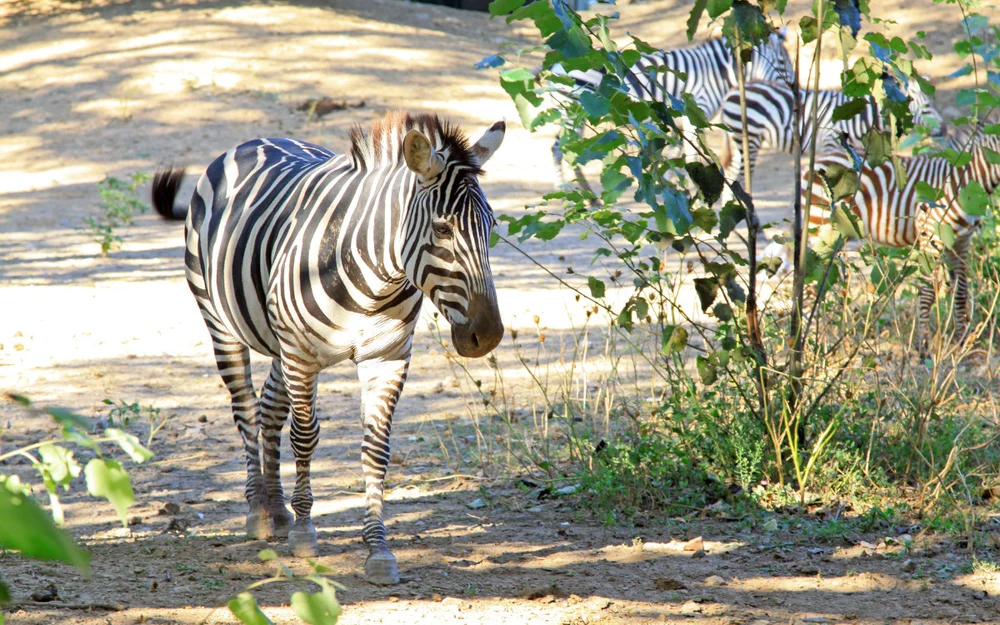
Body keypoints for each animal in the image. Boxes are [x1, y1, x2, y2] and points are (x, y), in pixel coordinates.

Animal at [150, 109, 508, 584]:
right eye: (442, 228)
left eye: (492, 227)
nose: (488, 335)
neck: (377, 278)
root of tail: (253, 140)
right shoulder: (302, 356)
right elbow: (305, 437)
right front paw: (305, 532)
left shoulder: (386, 358)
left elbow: (376, 449)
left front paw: (378, 549)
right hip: (223, 323)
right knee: (246, 408)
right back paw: (259, 512)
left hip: (279, 341)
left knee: (269, 408)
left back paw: (275, 508)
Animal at [548, 30, 788, 179]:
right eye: (783, 62)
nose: (791, 88)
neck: (715, 73)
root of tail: (557, 65)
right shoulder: (693, 117)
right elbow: (693, 159)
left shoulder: (675, 125)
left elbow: (675, 160)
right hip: (574, 111)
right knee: (559, 149)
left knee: (567, 150)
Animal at [720, 76, 944, 197]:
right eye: (926, 108)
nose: (944, 129)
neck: (861, 116)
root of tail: (731, 92)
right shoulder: (831, 143)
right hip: (749, 139)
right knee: (740, 176)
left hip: (739, 141)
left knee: (730, 174)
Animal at [796, 116, 1000, 356]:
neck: (965, 181)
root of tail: (814, 164)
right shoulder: (930, 235)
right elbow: (928, 291)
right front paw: (923, 346)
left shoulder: (960, 241)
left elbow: (960, 290)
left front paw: (962, 342)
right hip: (820, 229)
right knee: (811, 282)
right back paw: (808, 342)